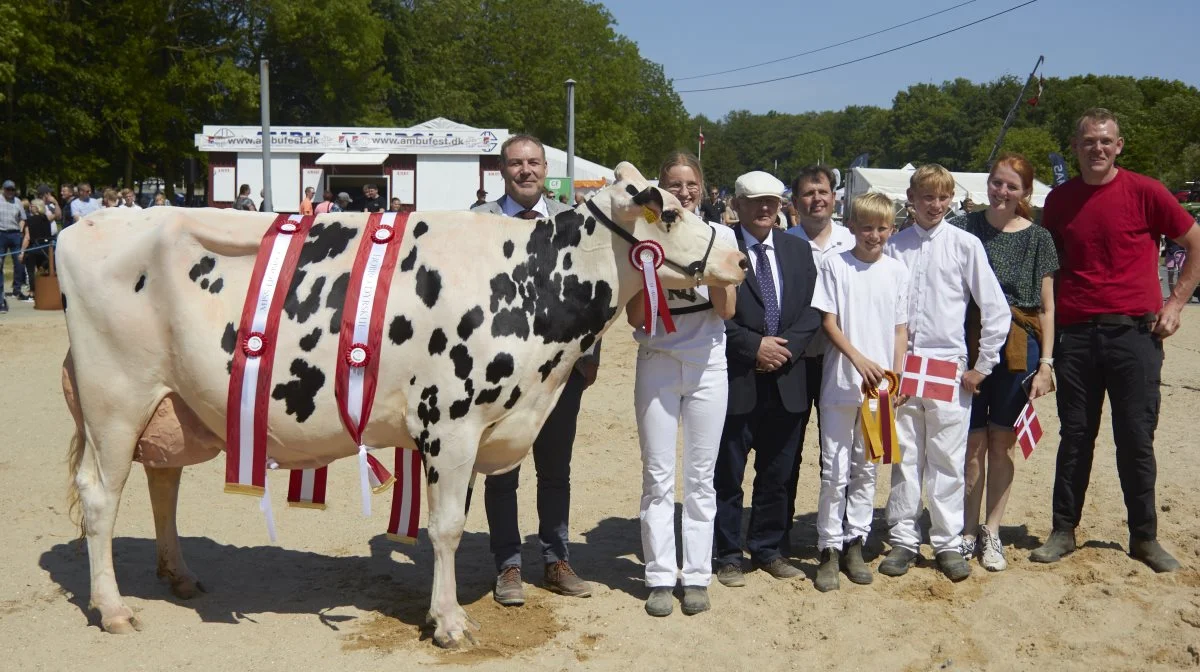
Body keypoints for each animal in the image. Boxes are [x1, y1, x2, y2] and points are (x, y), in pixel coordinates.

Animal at [63, 162, 748, 648]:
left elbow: (453, 523)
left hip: (169, 403)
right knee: (102, 496)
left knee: (163, 483)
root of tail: (88, 225)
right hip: (114, 399)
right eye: (673, 210)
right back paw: (114, 609)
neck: (532, 282)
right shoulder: (452, 421)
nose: (739, 258)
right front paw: (448, 623)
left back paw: (177, 576)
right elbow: (445, 529)